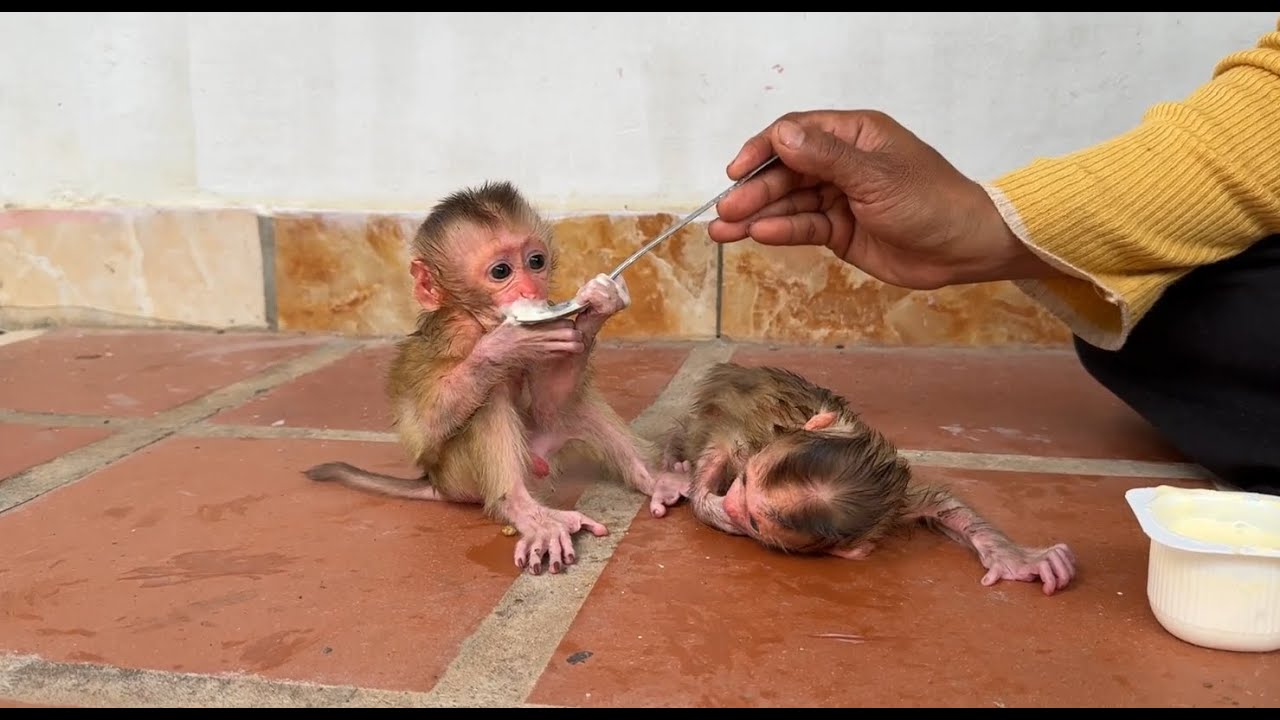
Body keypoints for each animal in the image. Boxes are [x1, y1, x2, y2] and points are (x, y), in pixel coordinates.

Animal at [304, 180, 690, 576]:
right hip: (460, 477)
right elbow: (427, 424)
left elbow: (553, 403)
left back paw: (655, 478)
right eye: (501, 271)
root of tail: (436, 484)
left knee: (571, 408)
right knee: (489, 398)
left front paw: (598, 303)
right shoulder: (459, 333)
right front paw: (506, 345)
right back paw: (527, 512)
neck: (481, 319)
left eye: (536, 261)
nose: (531, 291)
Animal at [659, 362, 1077, 596]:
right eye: (744, 481)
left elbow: (943, 504)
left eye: (754, 522)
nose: (731, 503)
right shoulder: (744, 445)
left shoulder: (898, 500)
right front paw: (705, 501)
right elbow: (719, 448)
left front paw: (1013, 558)